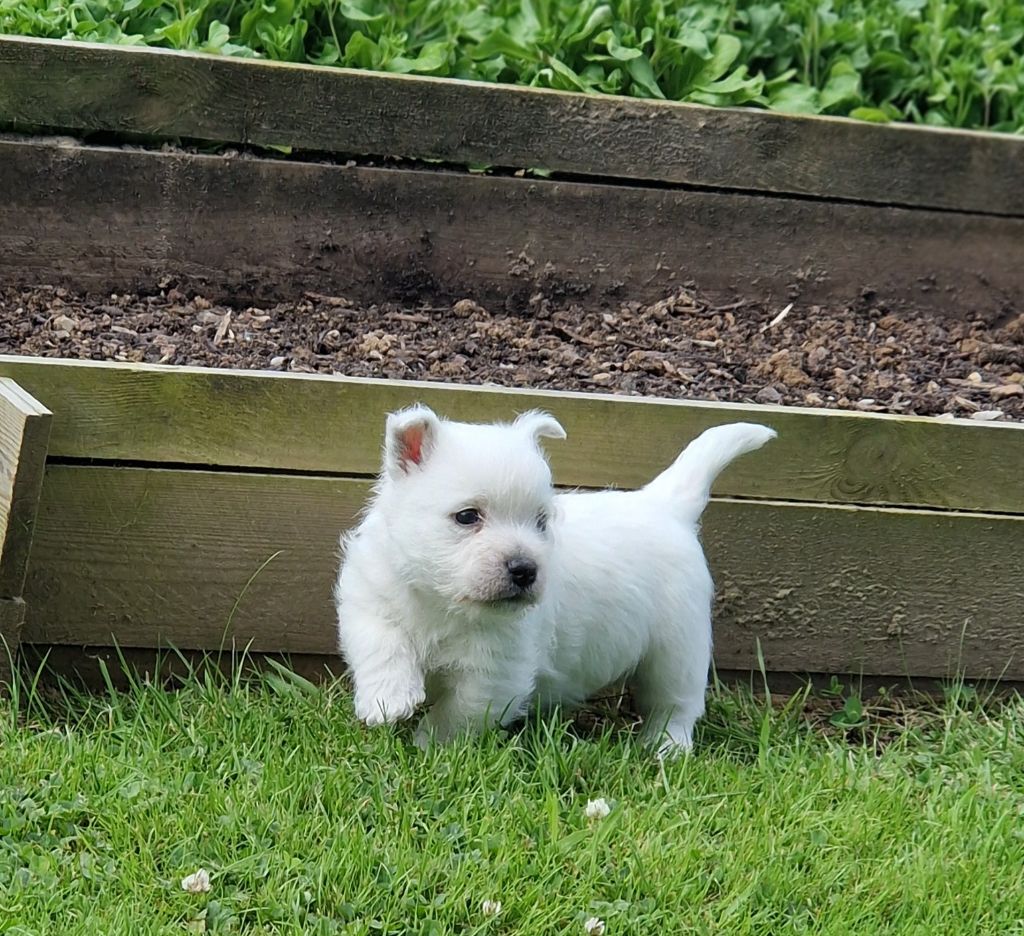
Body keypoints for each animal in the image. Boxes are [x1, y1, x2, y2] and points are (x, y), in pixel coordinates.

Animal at [335, 405, 774, 753]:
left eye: (541, 521)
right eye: (467, 516)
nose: (525, 569)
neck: (442, 602)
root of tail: (666, 506)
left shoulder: (496, 673)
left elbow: (460, 710)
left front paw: (430, 744)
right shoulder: (370, 599)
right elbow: (381, 644)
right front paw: (387, 701)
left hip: (677, 649)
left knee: (677, 705)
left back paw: (664, 747)